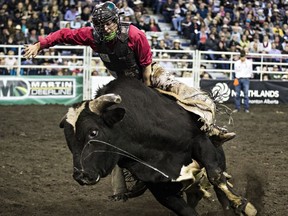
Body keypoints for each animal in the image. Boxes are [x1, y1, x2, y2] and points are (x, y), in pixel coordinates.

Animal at [60, 77, 256, 216]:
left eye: (93, 132)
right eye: (69, 139)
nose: (81, 175)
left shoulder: (199, 142)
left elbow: (216, 176)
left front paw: (245, 206)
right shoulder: (158, 186)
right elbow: (187, 211)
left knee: (221, 190)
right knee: (195, 196)